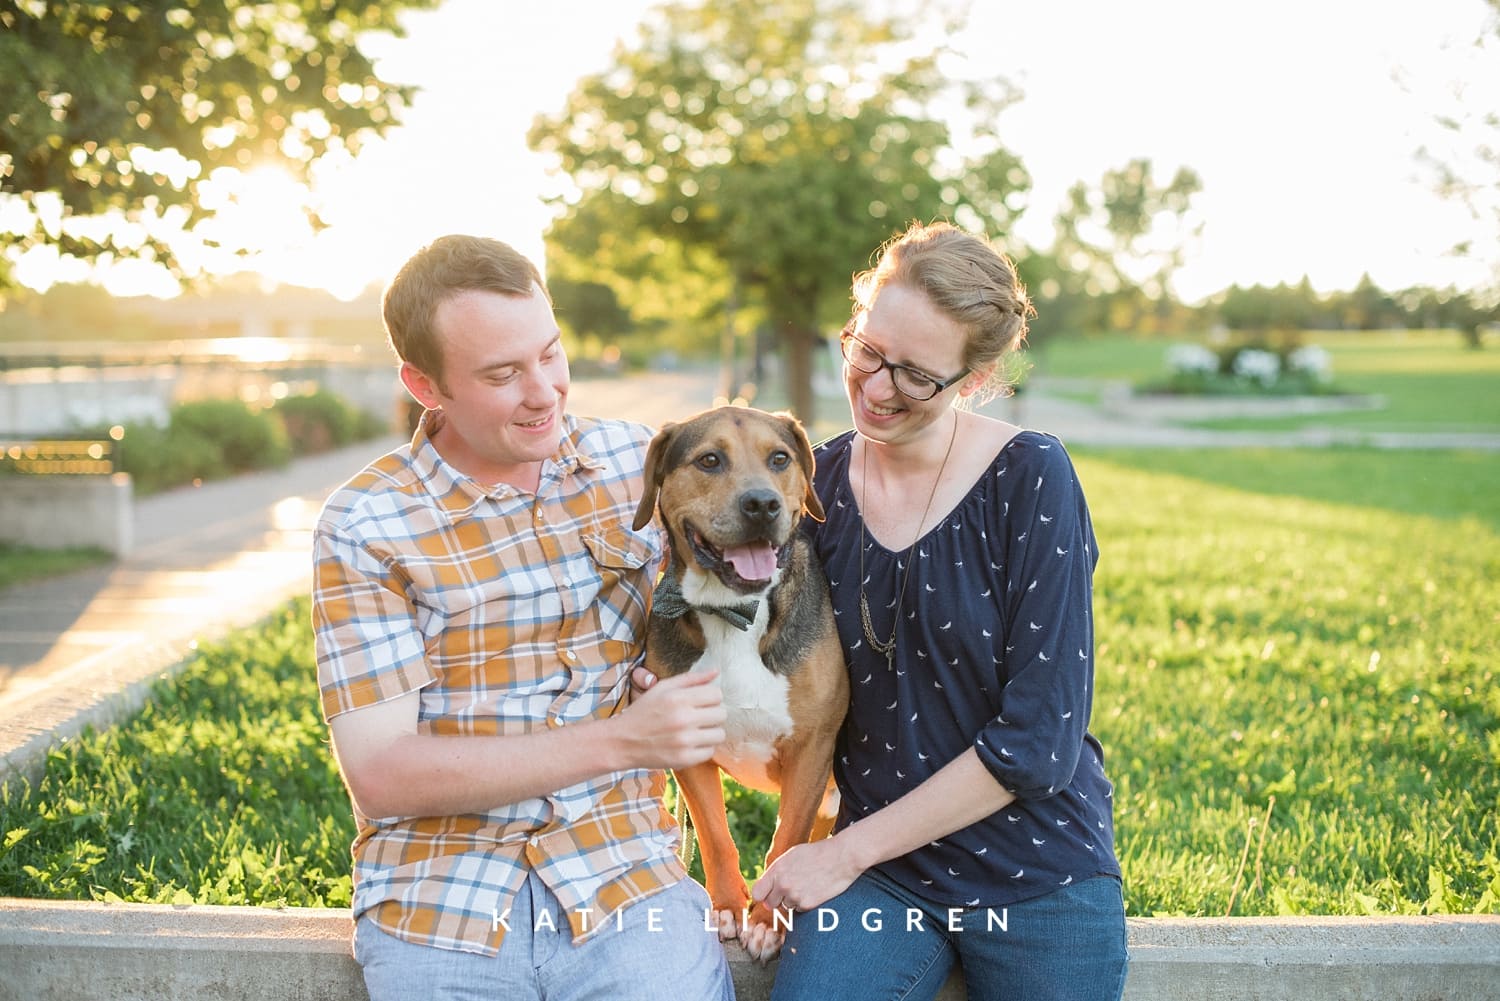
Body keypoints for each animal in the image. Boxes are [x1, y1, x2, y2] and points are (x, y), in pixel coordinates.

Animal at [630, 408, 852, 960]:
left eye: (780, 459)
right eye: (710, 460)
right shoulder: (687, 750)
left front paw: (768, 920)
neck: (732, 611)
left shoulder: (811, 750)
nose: (762, 504)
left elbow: (785, 843)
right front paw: (730, 907)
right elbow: (714, 836)